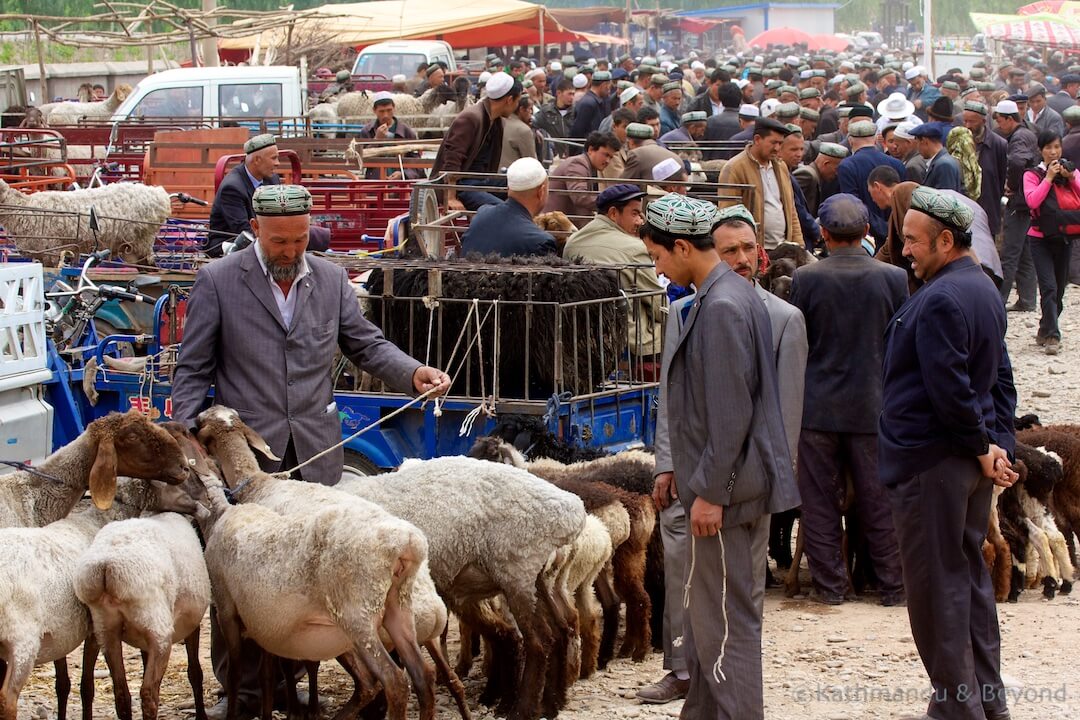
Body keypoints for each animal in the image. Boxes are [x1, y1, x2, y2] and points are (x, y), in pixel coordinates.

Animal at [0, 180, 170, 267]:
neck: (22, 207)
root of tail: (160, 195)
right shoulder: (41, 254)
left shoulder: (51, 251)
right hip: (130, 248)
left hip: (142, 241)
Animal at [0, 474, 206, 720]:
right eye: (181, 481)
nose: (203, 507)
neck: (96, 520)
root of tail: (106, 567)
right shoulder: (93, 630)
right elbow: (87, 686)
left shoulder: (62, 632)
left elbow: (64, 683)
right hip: (24, 641)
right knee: (8, 698)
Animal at [194, 408, 434, 720]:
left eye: (200, 424)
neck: (259, 485)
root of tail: (407, 544)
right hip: (398, 607)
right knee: (422, 676)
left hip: (357, 616)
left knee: (388, 680)